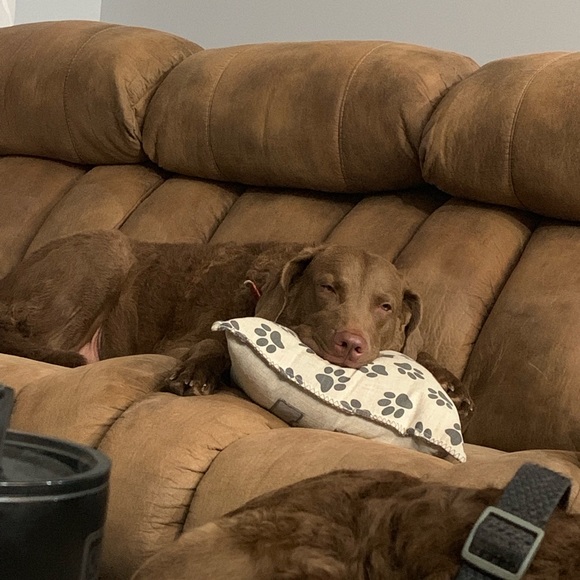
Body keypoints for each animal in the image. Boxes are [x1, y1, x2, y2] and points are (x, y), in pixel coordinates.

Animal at [0, 230, 472, 419]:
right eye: (327, 287)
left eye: (385, 307)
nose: (350, 344)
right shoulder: (182, 340)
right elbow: (214, 342)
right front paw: (195, 373)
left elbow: (422, 352)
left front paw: (449, 382)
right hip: (104, 256)